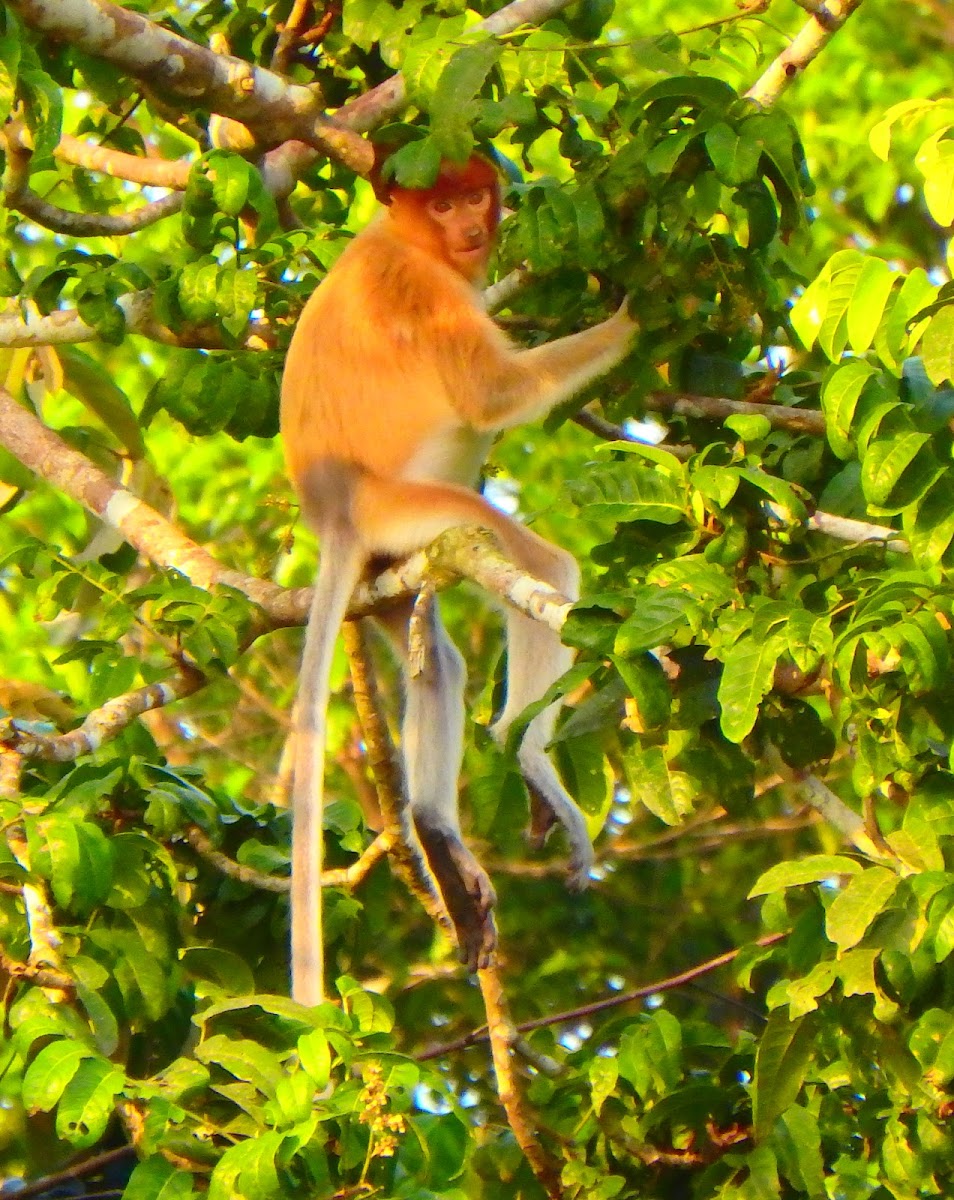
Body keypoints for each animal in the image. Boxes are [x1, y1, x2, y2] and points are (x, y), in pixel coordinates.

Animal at [279, 154, 633, 1008]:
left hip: (390, 573)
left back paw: (438, 834)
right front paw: (635, 310)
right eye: (440, 205)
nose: (470, 227)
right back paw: (522, 753)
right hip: (416, 510)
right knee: (543, 571)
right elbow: (492, 396)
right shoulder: (422, 292)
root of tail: (338, 512)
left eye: (473, 195)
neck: (408, 240)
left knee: (437, 661)